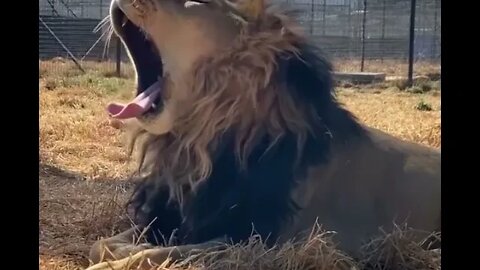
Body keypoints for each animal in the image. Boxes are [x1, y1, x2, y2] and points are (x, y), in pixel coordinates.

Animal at [85, 0, 438, 268]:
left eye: (196, 1)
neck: (193, 144)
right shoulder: (169, 216)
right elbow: (102, 244)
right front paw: (121, 249)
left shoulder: (261, 240)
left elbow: (160, 254)